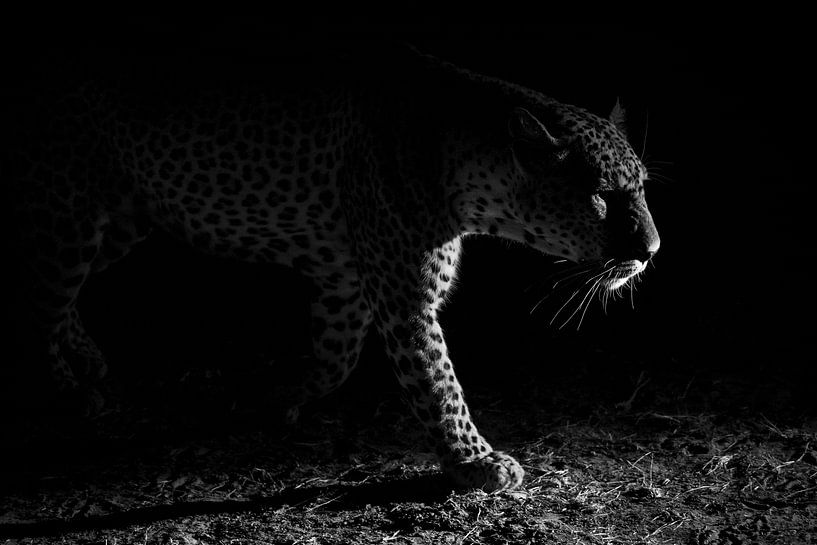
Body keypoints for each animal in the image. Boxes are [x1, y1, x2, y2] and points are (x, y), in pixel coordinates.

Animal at [4, 47, 660, 492]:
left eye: (643, 188)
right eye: (601, 197)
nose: (653, 249)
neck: (470, 171)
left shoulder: (346, 284)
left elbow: (336, 360)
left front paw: (277, 396)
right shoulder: (403, 297)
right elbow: (438, 383)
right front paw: (475, 461)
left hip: (120, 221)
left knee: (55, 297)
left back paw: (87, 360)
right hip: (67, 214)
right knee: (35, 300)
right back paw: (66, 393)